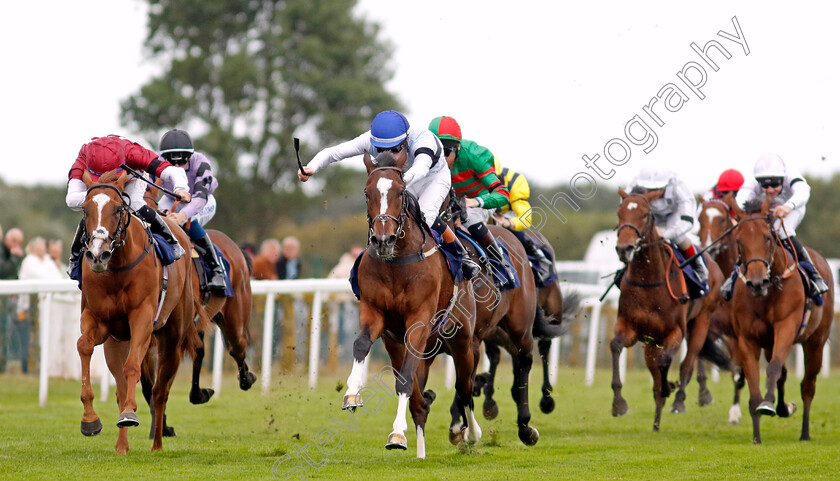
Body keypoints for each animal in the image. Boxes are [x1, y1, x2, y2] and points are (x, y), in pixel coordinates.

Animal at [77, 171, 205, 452]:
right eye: (85, 210)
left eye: (117, 209)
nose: (97, 255)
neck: (117, 269)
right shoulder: (99, 320)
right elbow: (84, 346)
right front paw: (90, 419)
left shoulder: (142, 318)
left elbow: (133, 366)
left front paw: (130, 414)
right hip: (116, 343)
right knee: (121, 387)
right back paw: (121, 446)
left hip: (172, 339)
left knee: (160, 391)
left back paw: (157, 444)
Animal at [340, 150, 480, 458]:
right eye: (366, 192)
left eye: (401, 191)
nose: (383, 238)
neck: (396, 262)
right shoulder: (375, 313)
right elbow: (362, 345)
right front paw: (352, 392)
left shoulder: (419, 318)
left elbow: (405, 379)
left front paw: (396, 433)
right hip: (399, 344)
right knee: (419, 393)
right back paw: (421, 441)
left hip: (462, 341)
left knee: (465, 387)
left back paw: (471, 433)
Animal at [612, 186, 728, 430]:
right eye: (620, 213)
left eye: (645, 214)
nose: (624, 248)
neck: (648, 281)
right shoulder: (631, 328)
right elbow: (615, 346)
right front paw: (618, 404)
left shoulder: (675, 331)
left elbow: (666, 361)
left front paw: (669, 388)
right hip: (650, 342)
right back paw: (656, 421)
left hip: (701, 323)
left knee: (687, 365)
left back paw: (678, 401)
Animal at [720, 195, 832, 442]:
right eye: (739, 241)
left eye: (768, 237)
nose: (757, 282)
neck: (768, 293)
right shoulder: (747, 338)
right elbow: (754, 381)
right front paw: (757, 435)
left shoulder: (786, 326)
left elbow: (773, 369)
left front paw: (768, 404)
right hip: (769, 343)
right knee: (784, 373)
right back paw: (784, 408)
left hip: (815, 342)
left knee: (807, 384)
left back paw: (804, 433)